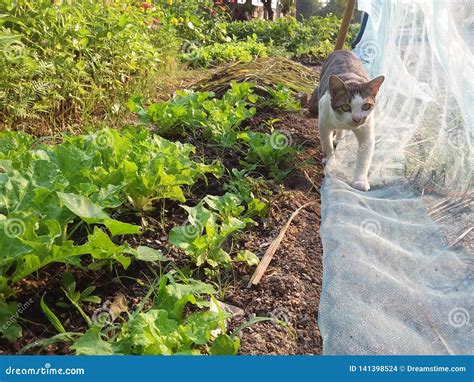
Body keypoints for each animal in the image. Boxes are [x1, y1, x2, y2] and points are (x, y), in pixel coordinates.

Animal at [314, 50, 386, 190]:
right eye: (346, 107)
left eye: (366, 106)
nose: (357, 118)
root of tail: (343, 50)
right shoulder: (323, 123)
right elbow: (327, 144)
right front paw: (330, 160)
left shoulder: (366, 128)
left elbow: (364, 157)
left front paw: (360, 181)